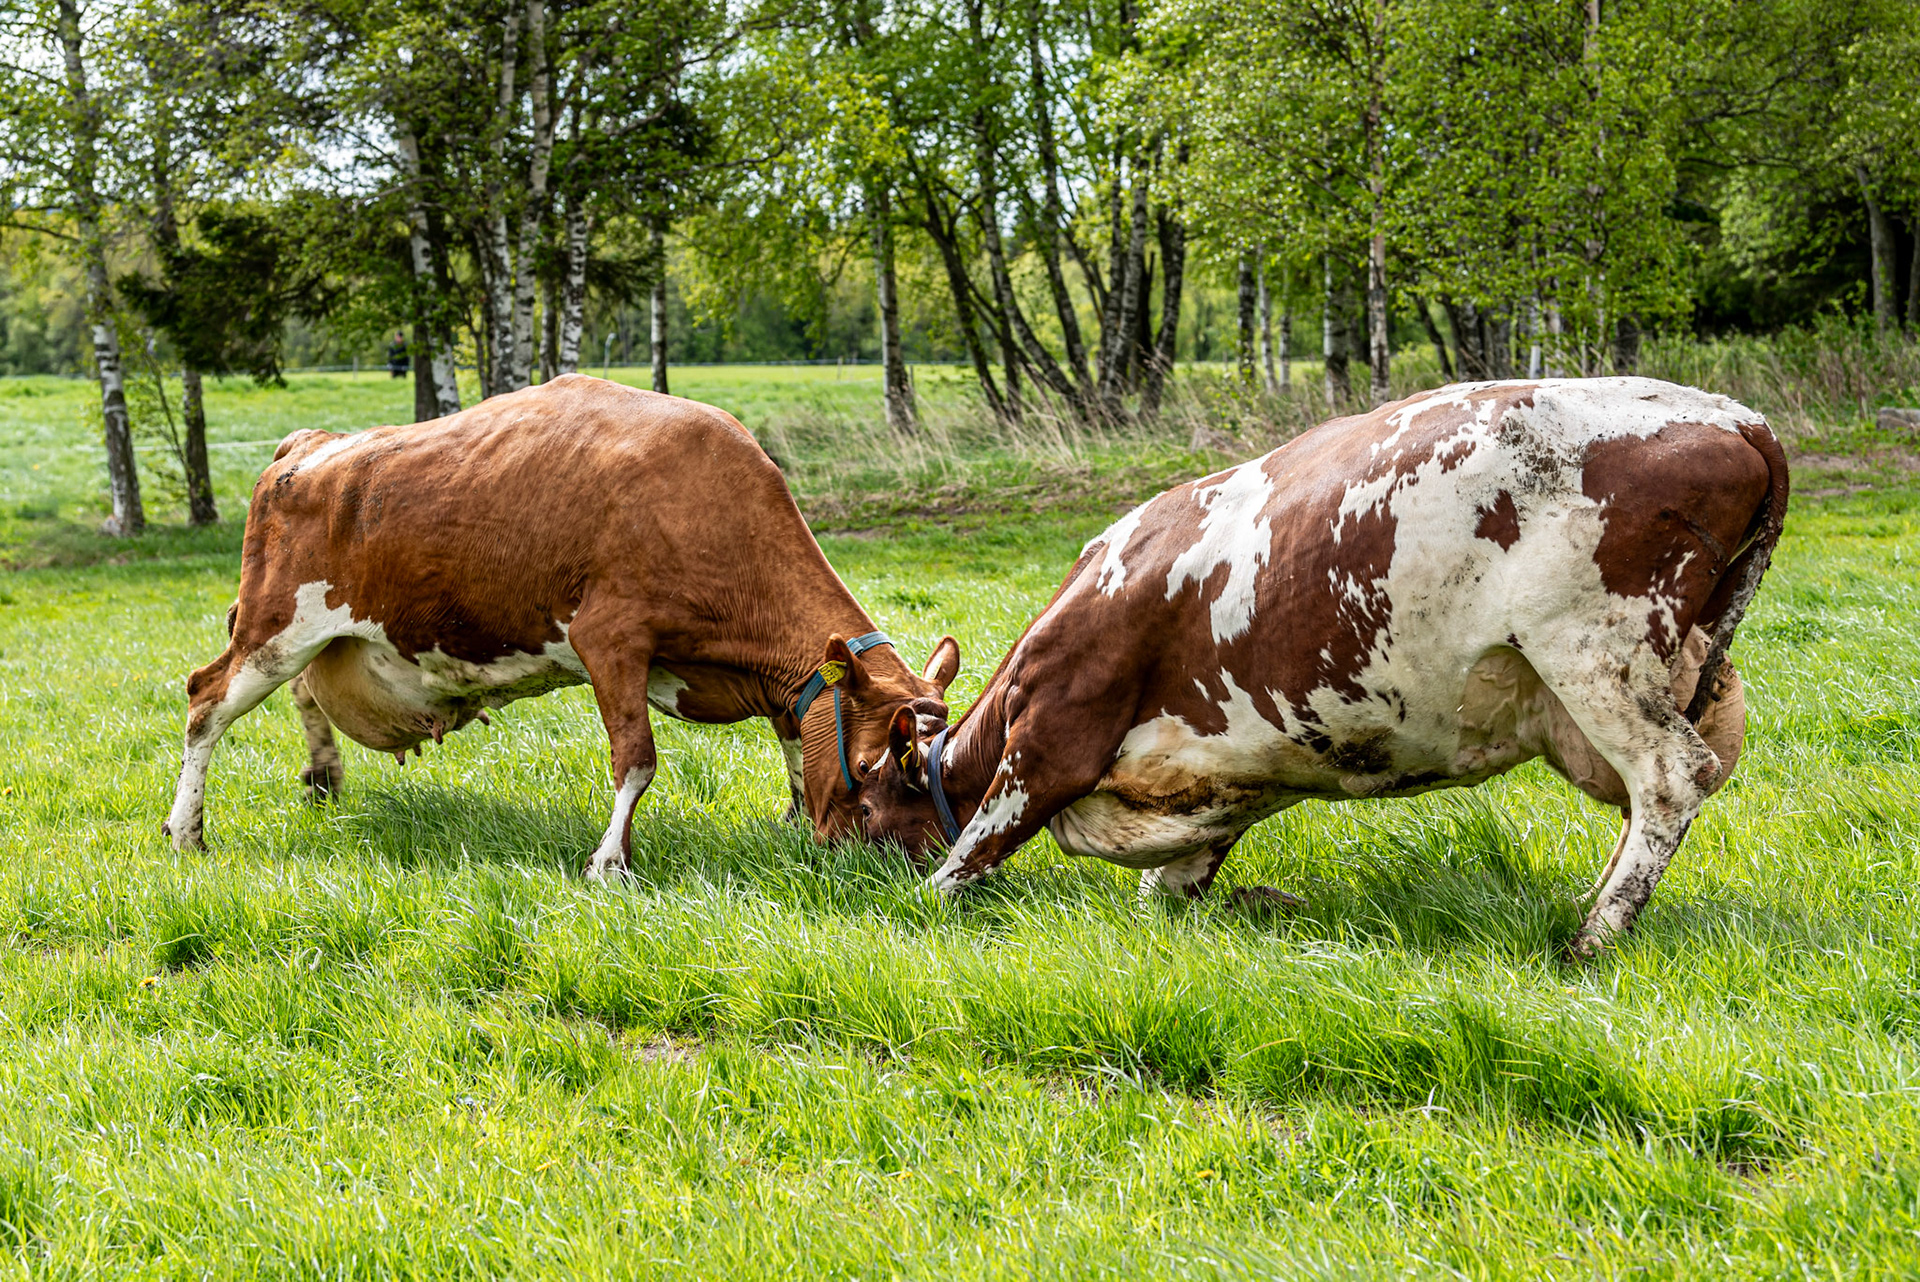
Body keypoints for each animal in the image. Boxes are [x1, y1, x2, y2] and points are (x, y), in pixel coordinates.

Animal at [163, 374, 959, 877]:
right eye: (872, 767)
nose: (904, 865)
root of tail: (309, 443)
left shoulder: (774, 683)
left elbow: (794, 745)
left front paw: (792, 821)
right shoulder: (608, 638)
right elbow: (636, 758)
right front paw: (610, 863)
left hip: (320, 640)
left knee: (299, 697)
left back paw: (324, 777)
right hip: (274, 625)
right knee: (207, 701)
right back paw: (186, 834)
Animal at [854, 378, 1788, 959]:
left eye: (862, 802)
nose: (835, 859)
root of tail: (1740, 418)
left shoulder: (1052, 737)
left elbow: (963, 860)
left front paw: (906, 905)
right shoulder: (1220, 787)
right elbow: (1168, 891)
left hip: (1594, 648)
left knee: (1670, 776)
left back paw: (1594, 936)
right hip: (1673, 665)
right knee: (1655, 793)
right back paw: (1590, 908)